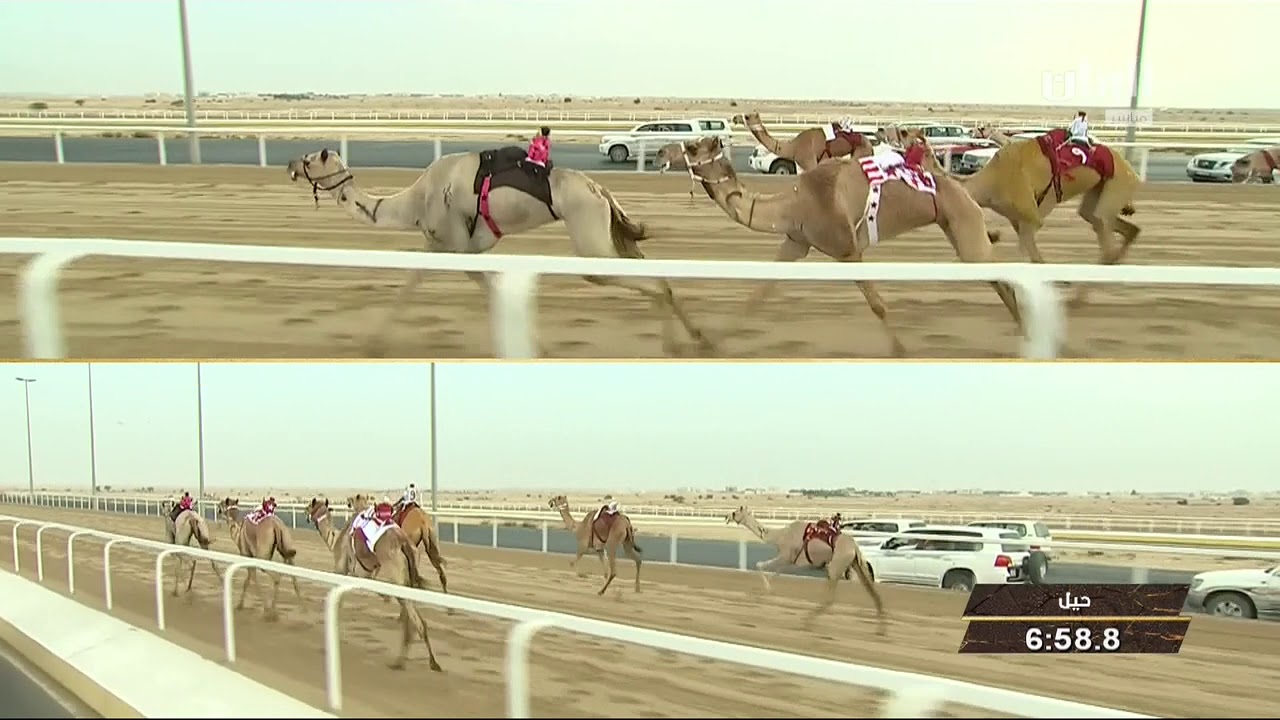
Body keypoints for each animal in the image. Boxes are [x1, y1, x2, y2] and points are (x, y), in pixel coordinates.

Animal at [285, 147, 711, 357]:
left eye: (308, 160)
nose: (290, 164)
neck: (414, 201)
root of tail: (600, 189)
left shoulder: (456, 246)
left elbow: (476, 284)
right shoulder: (447, 246)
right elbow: (417, 282)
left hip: (590, 237)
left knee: (630, 278)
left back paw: (691, 340)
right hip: (606, 230)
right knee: (651, 270)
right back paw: (690, 338)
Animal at [303, 496, 443, 671]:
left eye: (310, 505)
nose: (305, 512)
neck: (335, 539)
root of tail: (403, 542)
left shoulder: (342, 569)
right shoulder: (367, 572)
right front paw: (385, 598)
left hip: (396, 573)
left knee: (415, 619)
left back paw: (413, 661)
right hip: (410, 572)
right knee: (412, 617)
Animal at [678, 135, 1023, 357]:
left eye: (693, 147)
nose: (671, 151)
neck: (794, 204)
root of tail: (964, 188)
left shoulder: (847, 249)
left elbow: (878, 305)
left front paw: (900, 350)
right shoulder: (796, 242)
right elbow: (757, 294)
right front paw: (708, 342)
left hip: (965, 224)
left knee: (1002, 276)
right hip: (956, 226)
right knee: (997, 278)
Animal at [725, 506, 886, 635]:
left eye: (735, 512)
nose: (727, 517)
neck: (780, 536)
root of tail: (855, 547)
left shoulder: (786, 556)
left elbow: (760, 565)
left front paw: (759, 592)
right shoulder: (788, 560)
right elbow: (774, 574)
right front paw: (756, 594)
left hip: (835, 566)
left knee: (830, 599)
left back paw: (806, 621)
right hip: (855, 564)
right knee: (873, 591)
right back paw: (881, 630)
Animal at [732, 112, 876, 173]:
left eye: (747, 116)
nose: (734, 118)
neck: (793, 147)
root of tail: (870, 143)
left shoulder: (810, 163)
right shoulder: (802, 167)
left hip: (861, 153)